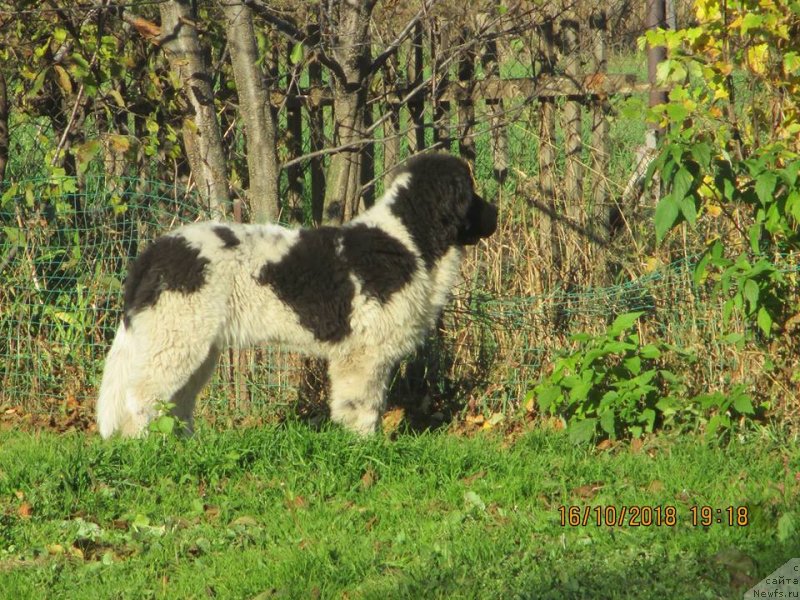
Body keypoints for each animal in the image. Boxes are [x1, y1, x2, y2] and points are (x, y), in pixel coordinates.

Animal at [97, 152, 496, 438]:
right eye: (471, 193)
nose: (495, 211)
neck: (407, 239)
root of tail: (154, 252)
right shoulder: (364, 354)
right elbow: (363, 405)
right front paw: (367, 448)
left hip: (196, 346)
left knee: (177, 402)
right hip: (175, 338)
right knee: (142, 397)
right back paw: (148, 448)